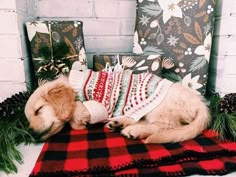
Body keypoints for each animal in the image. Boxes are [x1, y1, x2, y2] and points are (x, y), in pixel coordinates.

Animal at [24, 69, 211, 144]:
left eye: (39, 110)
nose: (30, 134)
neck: (74, 85)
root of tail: (200, 103)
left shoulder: (97, 105)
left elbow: (76, 111)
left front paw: (79, 121)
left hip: (160, 109)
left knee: (164, 127)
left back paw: (133, 130)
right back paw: (120, 124)